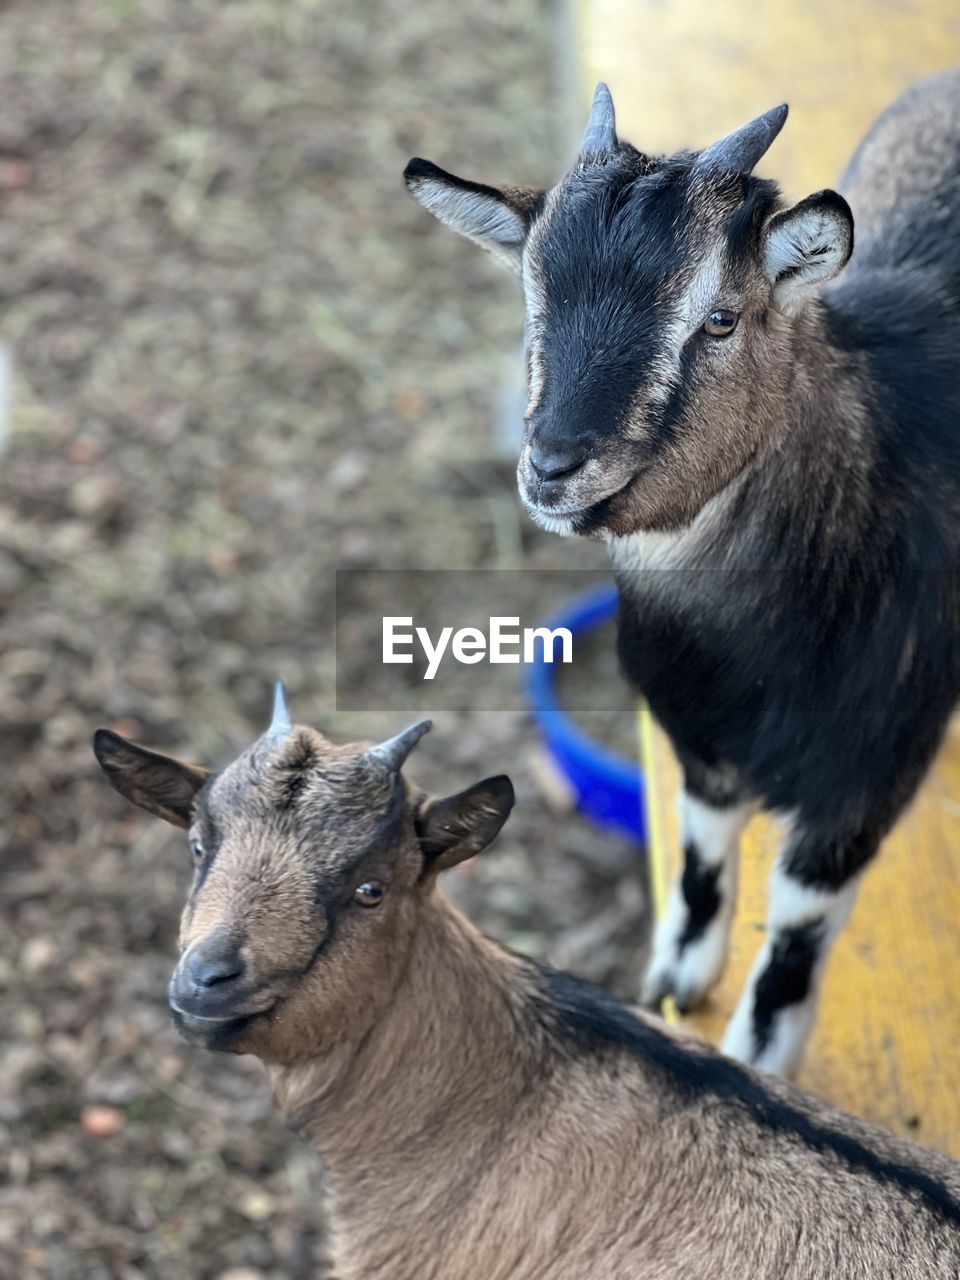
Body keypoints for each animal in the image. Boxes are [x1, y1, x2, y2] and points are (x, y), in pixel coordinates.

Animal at [404, 70, 960, 1070]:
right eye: (532, 303)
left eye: (721, 318)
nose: (553, 464)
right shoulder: (697, 733)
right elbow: (702, 857)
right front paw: (676, 977)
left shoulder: (866, 778)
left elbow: (797, 935)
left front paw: (758, 1060)